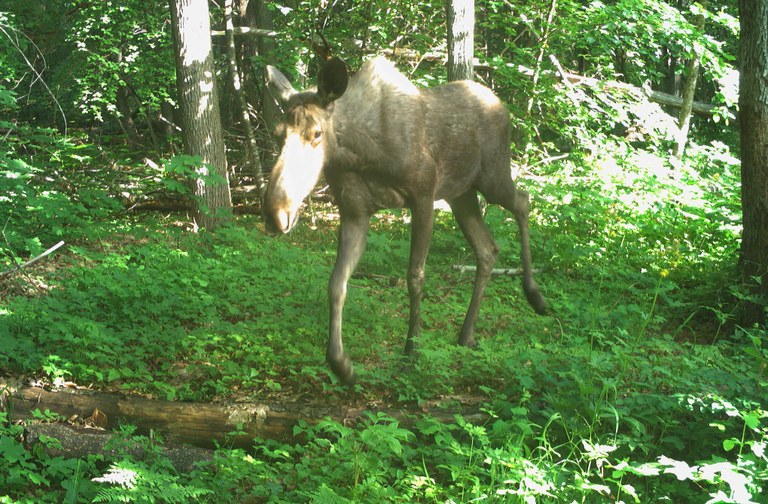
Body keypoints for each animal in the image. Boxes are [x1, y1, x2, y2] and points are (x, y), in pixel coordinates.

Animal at [263, 56, 547, 385]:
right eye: (277, 133)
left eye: (317, 133)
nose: (275, 212)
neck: (360, 153)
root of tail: (502, 105)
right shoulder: (355, 213)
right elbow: (336, 282)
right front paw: (341, 363)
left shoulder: (423, 197)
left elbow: (415, 277)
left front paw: (411, 351)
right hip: (461, 195)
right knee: (488, 248)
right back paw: (467, 333)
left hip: (492, 178)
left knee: (524, 202)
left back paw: (535, 295)